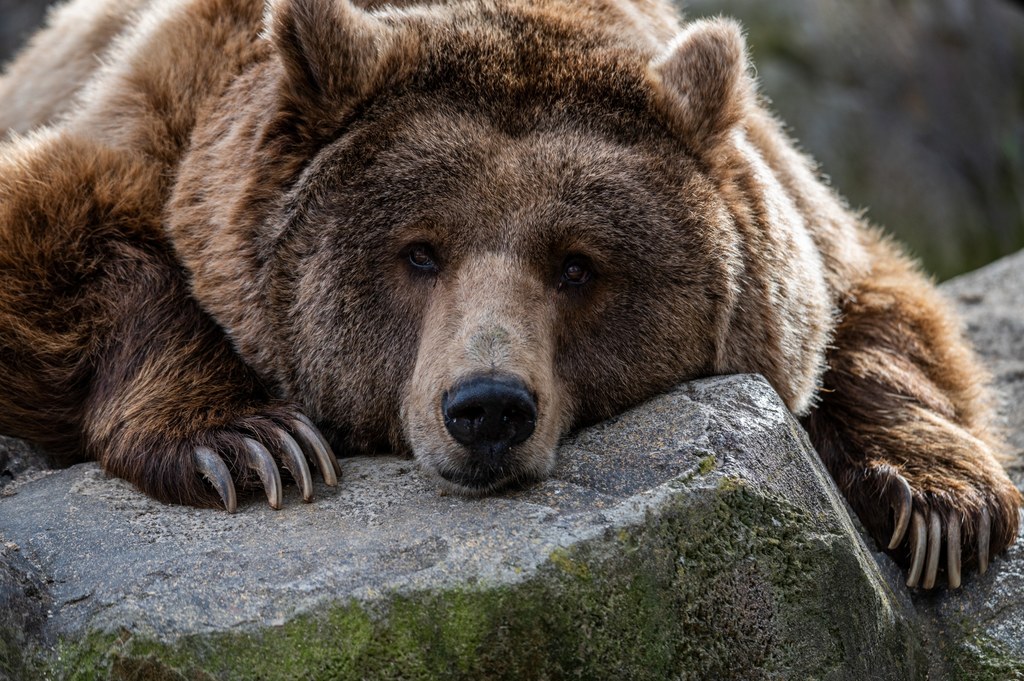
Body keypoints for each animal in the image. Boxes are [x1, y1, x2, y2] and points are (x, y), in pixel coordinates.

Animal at [0, 0, 1015, 589]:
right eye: (419, 251)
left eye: (577, 264)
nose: (487, 406)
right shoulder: (173, 123)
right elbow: (67, 230)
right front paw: (250, 446)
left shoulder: (796, 214)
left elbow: (872, 309)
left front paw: (942, 506)